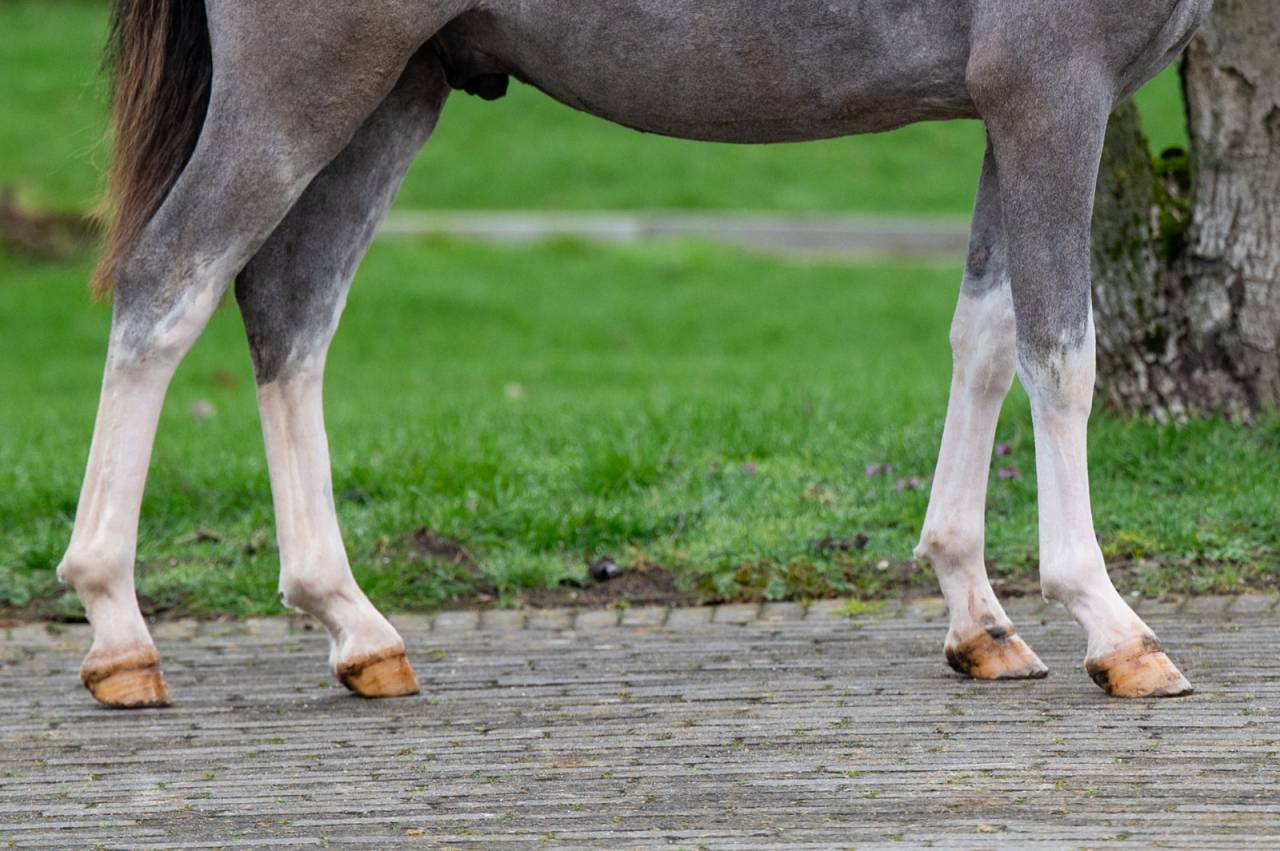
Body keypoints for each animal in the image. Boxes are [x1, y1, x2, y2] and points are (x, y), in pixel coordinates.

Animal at [59, 0, 1212, 707]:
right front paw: (1112, 626)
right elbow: (1059, 355)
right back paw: (118, 631)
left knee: (290, 308)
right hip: (302, 88)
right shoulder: (1048, 92)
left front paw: (978, 618)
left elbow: (983, 339)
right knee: (169, 283)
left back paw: (355, 626)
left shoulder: (999, 115)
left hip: (396, 92)